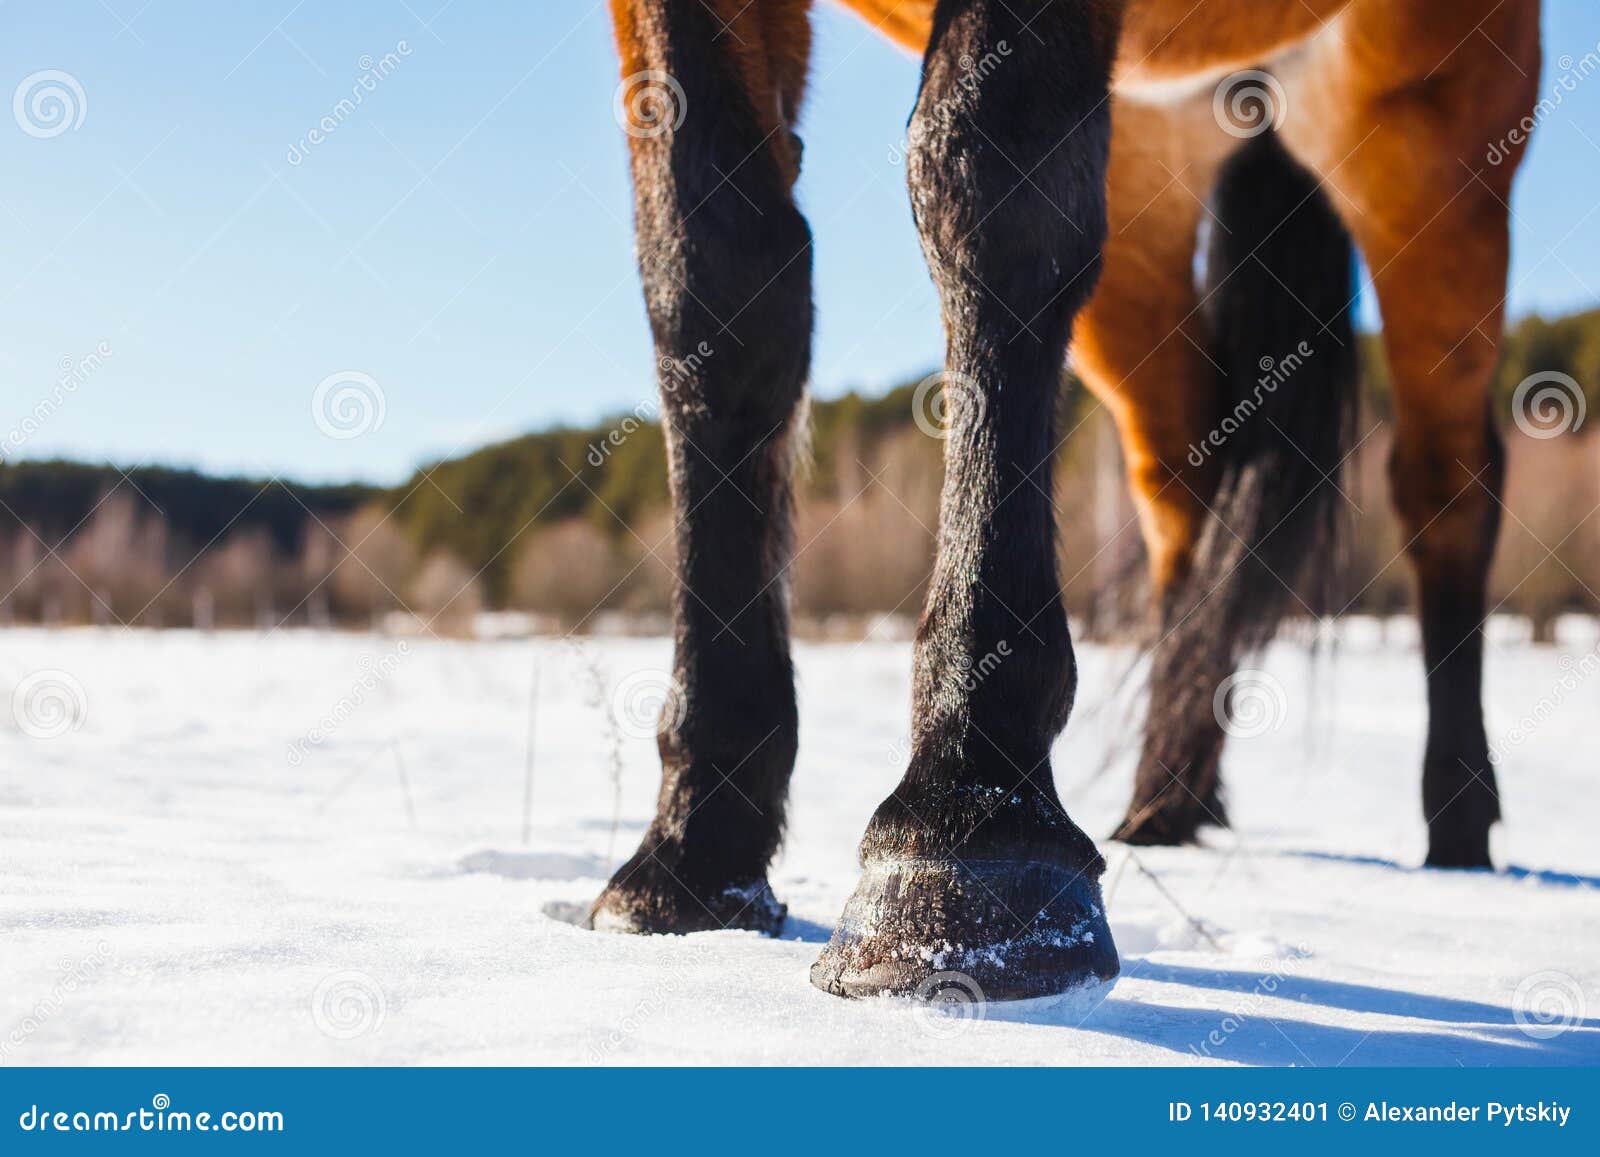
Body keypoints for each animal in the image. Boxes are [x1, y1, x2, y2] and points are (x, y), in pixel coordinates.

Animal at [592, 0, 1543, 1003]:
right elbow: (713, 271)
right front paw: (695, 846)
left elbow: (989, 179)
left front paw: (965, 827)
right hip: (1155, 171)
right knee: (1188, 478)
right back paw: (1166, 797)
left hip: (1425, 131)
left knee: (1446, 488)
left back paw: (1460, 826)